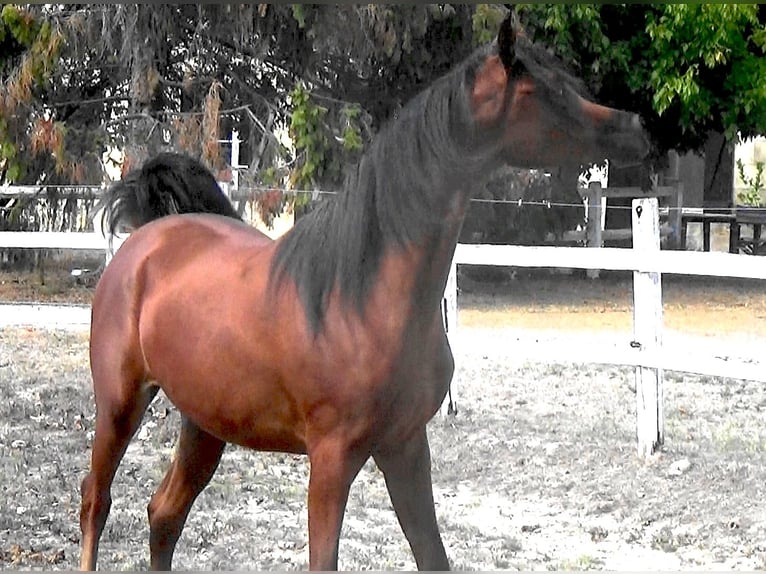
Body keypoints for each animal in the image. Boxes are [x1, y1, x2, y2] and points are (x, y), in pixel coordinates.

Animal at [80, 15, 649, 571]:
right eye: (544, 89)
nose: (635, 129)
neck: (364, 301)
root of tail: (146, 242)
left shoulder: (405, 446)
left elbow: (432, 555)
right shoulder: (332, 461)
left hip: (205, 424)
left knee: (164, 515)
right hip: (120, 404)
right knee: (95, 503)